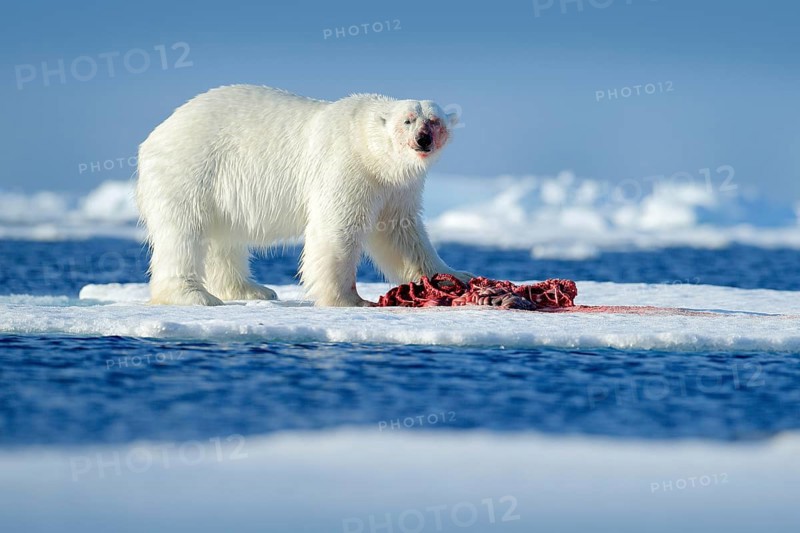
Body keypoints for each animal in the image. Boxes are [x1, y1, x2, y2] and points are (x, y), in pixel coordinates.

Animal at [135, 84, 472, 307]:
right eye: (408, 120)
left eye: (434, 121)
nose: (423, 139)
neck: (370, 151)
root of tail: (157, 133)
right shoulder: (347, 166)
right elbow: (336, 228)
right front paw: (349, 298)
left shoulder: (395, 188)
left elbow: (401, 235)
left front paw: (456, 275)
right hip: (191, 169)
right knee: (183, 233)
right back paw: (193, 295)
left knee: (224, 239)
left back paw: (252, 289)